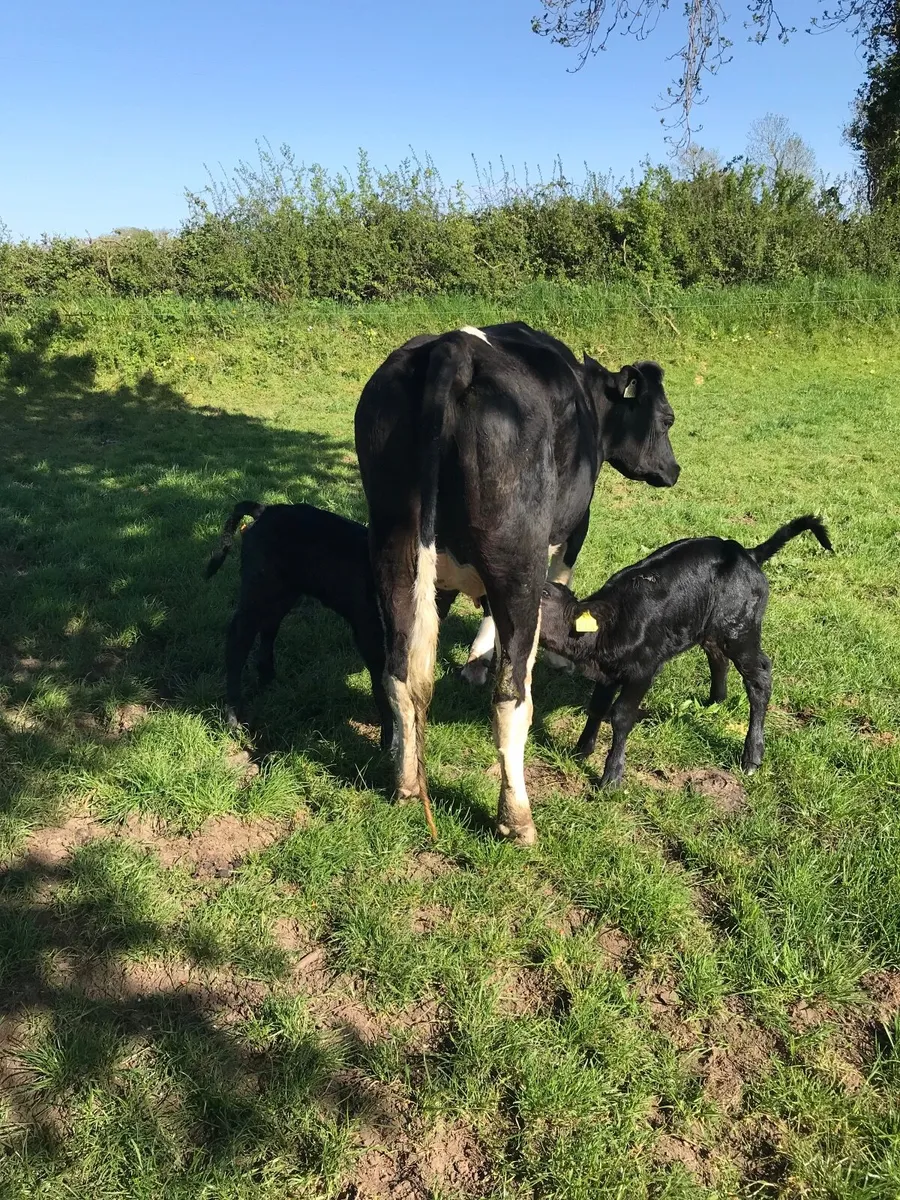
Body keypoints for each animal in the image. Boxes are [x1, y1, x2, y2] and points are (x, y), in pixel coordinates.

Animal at [353, 322, 680, 845]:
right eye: (667, 419)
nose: (673, 471)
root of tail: (454, 346)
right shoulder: (572, 527)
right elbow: (558, 585)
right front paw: (552, 658)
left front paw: (474, 661)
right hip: (518, 554)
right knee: (512, 697)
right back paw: (517, 817)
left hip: (394, 543)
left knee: (402, 672)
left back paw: (406, 783)